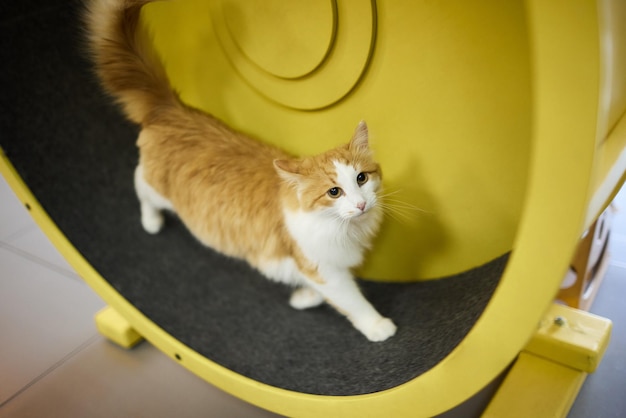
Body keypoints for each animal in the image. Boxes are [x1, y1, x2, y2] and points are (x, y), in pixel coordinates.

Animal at [84, 0, 394, 342]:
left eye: (361, 178)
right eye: (334, 192)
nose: (361, 204)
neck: (348, 230)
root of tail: (174, 108)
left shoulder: (316, 266)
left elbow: (310, 286)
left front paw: (303, 298)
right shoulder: (325, 269)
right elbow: (353, 301)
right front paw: (379, 326)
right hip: (156, 186)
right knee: (139, 186)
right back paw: (151, 222)